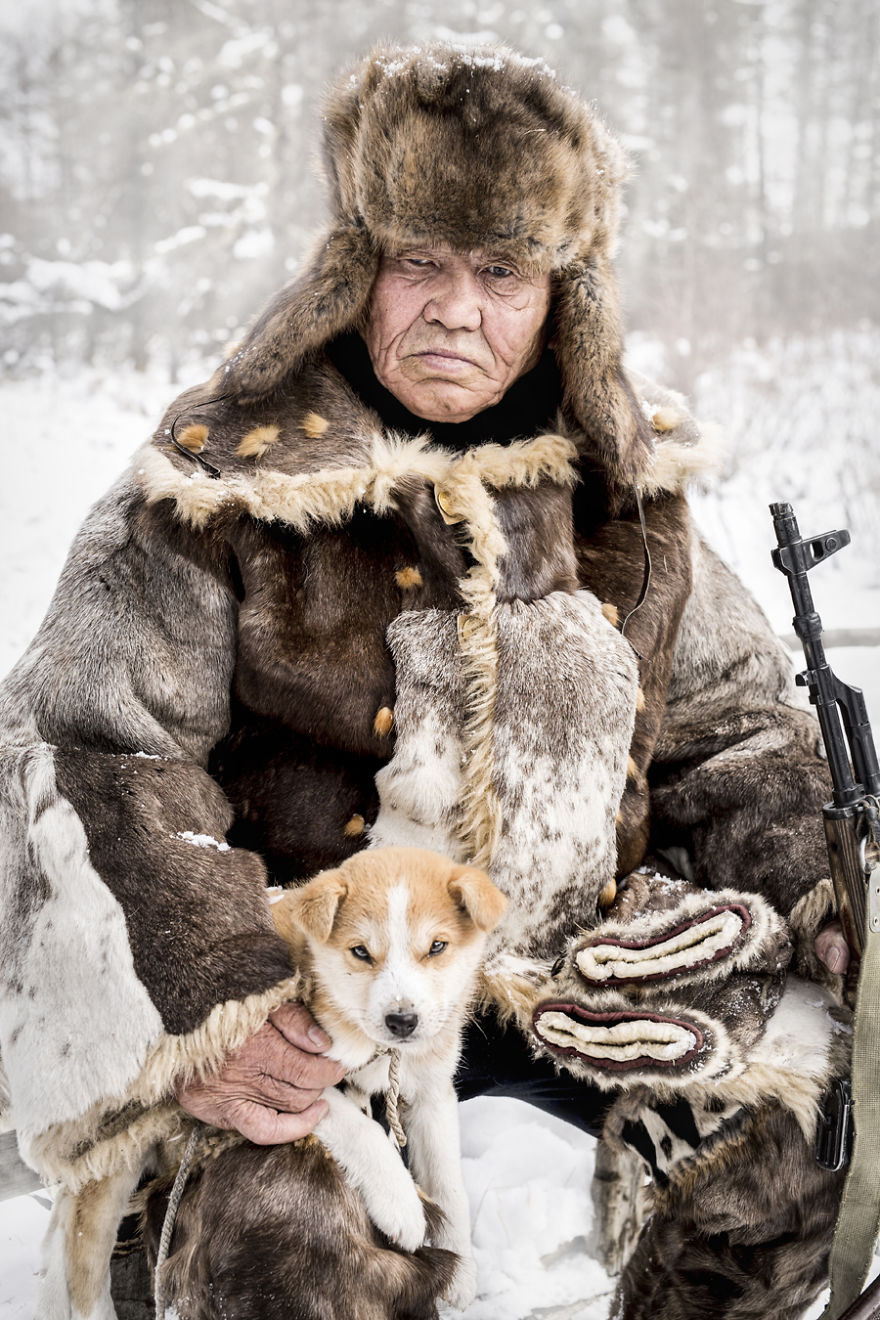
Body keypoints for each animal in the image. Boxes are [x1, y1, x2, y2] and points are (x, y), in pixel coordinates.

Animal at [270, 844, 509, 1309]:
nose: (402, 1021)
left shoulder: (432, 1093)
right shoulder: (294, 1079)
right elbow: (361, 1130)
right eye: (361, 952)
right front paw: (402, 1207)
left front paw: (460, 1265)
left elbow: (448, 1184)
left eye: (437, 946)